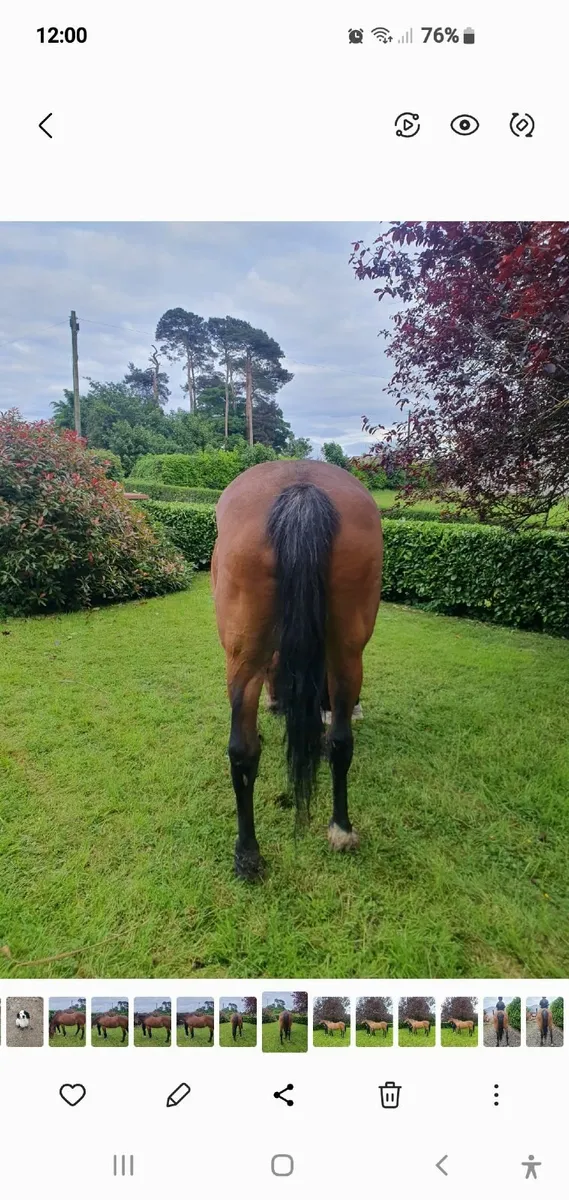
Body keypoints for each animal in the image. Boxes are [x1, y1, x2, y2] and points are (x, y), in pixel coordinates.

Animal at [212, 461, 383, 879]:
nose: (276, 702)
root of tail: (302, 487)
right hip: (347, 650)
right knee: (340, 742)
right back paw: (341, 828)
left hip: (244, 655)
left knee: (242, 751)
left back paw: (247, 853)